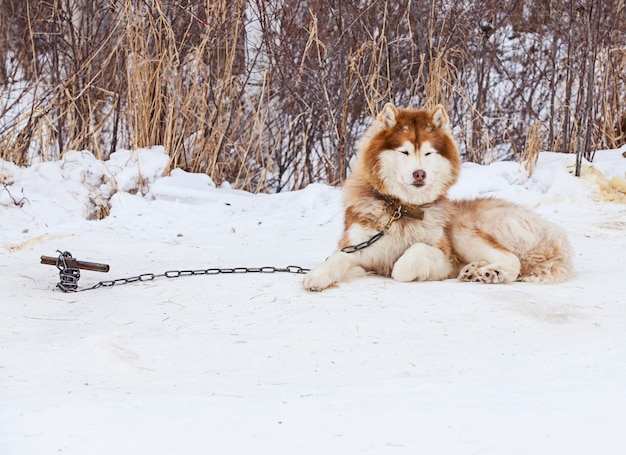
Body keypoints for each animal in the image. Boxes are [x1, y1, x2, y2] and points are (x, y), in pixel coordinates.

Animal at [302, 102, 572, 292]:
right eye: (405, 152)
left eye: (428, 153)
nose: (419, 173)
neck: (402, 209)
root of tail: (546, 228)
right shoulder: (359, 245)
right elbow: (336, 258)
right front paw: (317, 274)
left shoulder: (444, 256)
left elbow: (407, 260)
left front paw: (400, 266)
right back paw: (475, 271)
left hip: (463, 231)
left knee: (513, 260)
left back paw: (493, 273)